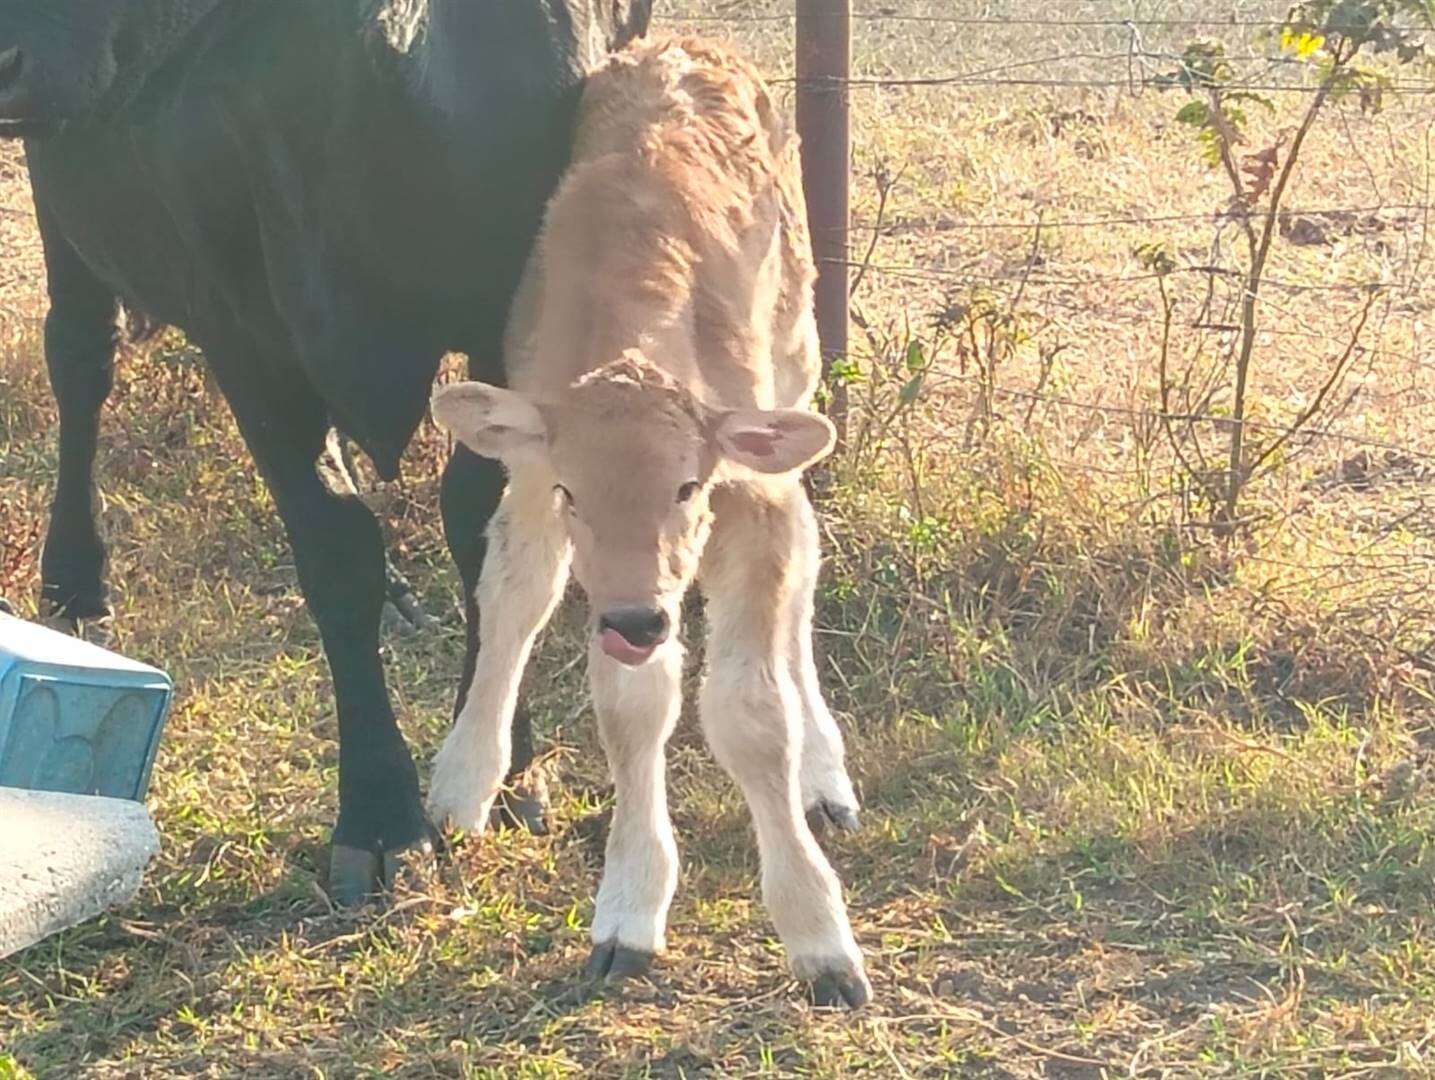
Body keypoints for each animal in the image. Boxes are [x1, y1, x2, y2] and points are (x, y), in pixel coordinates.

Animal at [0, 2, 651, 900]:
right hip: (59, 191)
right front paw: (380, 817)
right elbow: (335, 550)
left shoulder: (513, 320)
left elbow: (486, 531)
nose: (9, 62)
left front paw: (503, 761)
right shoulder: (244, 336)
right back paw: (75, 578)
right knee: (80, 358)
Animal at [424, 38, 866, 1009]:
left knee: (804, 577)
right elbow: (613, 688)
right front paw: (627, 910)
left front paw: (819, 939)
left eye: (688, 486)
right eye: (574, 494)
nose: (636, 619)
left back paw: (824, 773)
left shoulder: (749, 496)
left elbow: (750, 713)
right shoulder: (533, 469)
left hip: (794, 375)